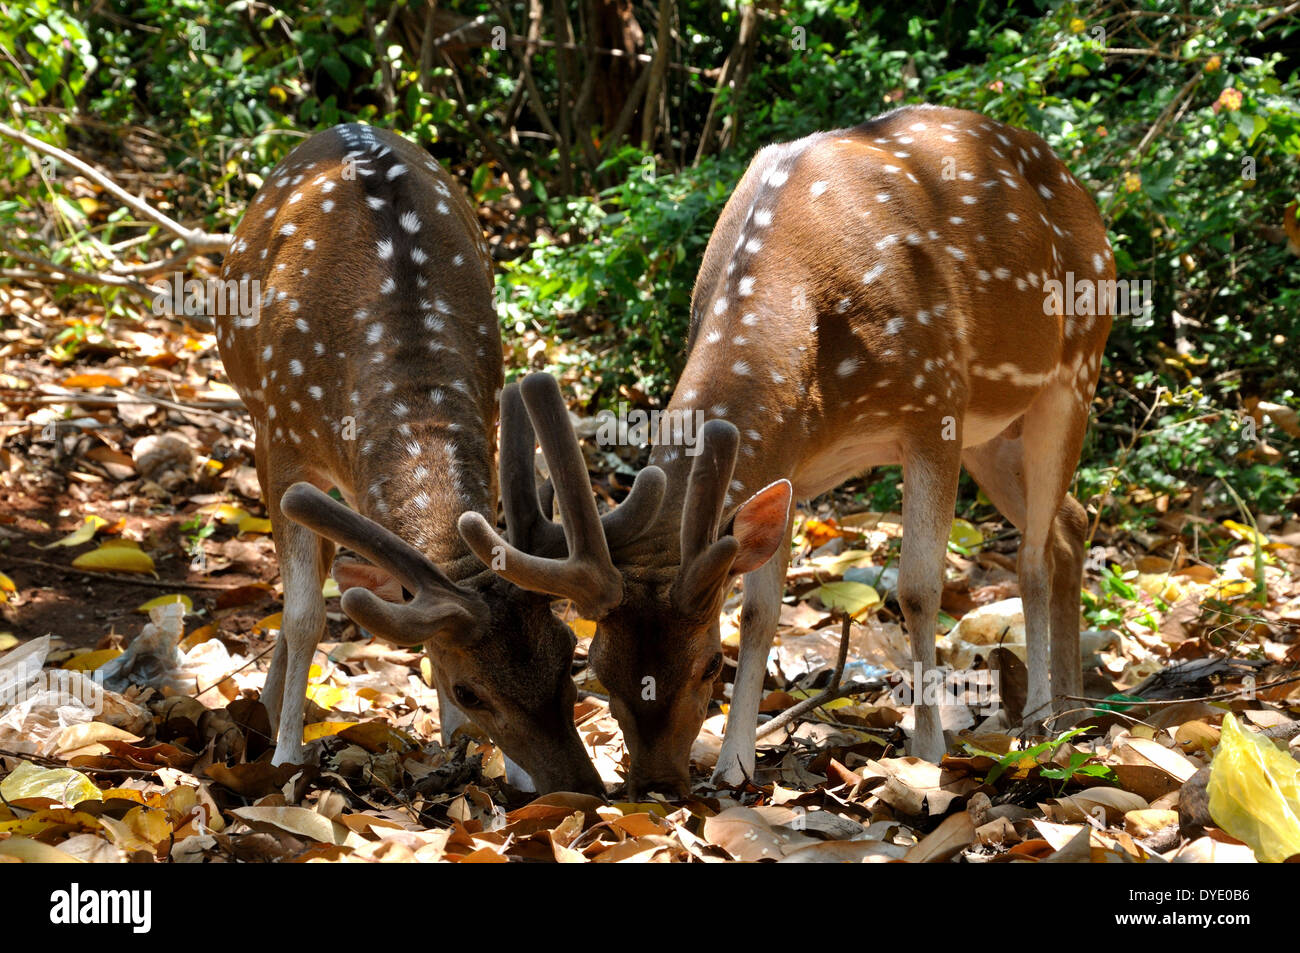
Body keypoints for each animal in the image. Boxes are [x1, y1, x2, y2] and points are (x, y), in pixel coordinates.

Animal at [215, 124, 611, 795]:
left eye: (570, 655)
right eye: (471, 689)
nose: (577, 788)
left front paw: (464, 748)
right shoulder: (281, 438)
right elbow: (304, 616)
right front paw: (286, 759)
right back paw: (266, 717)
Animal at [467, 105, 1118, 795]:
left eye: (707, 667)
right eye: (594, 667)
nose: (657, 785)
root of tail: (1084, 199)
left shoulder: (935, 398)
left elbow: (918, 588)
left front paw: (929, 753)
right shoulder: (785, 465)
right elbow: (760, 612)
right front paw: (734, 765)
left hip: (1074, 369)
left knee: (1033, 556)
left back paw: (1042, 719)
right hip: (992, 436)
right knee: (1071, 525)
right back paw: (1075, 711)